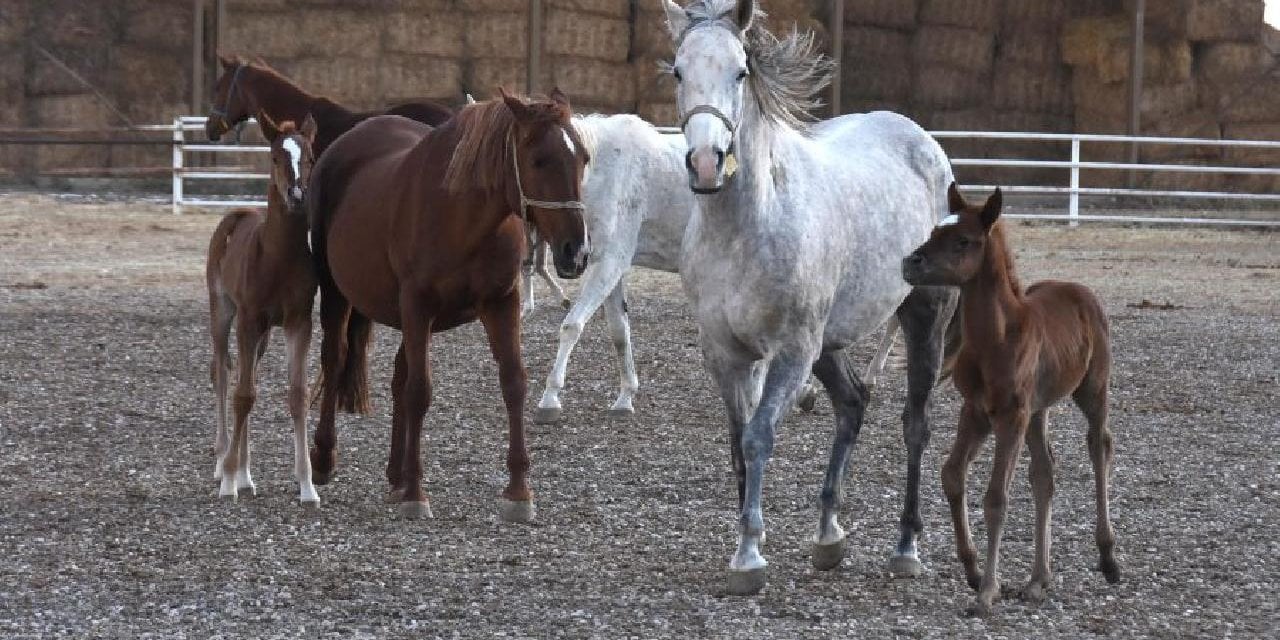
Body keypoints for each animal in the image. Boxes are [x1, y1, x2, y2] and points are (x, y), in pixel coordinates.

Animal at [207, 112, 320, 506]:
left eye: (311, 157)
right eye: (274, 157)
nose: (298, 196)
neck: (277, 256)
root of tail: (237, 214)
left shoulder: (298, 321)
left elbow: (297, 395)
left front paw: (307, 486)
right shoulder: (247, 319)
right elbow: (243, 396)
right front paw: (227, 481)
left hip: (264, 335)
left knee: (247, 374)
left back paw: (245, 474)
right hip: (222, 312)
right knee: (224, 375)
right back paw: (224, 463)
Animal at [307, 87, 591, 522]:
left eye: (583, 159)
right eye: (539, 159)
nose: (575, 252)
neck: (464, 218)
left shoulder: (501, 304)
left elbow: (513, 383)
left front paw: (518, 491)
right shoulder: (417, 306)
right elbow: (420, 391)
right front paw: (416, 493)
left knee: (398, 377)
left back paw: (396, 475)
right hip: (339, 293)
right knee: (335, 360)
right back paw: (324, 458)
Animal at [665, 0, 957, 593]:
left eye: (741, 71)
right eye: (678, 72)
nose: (706, 163)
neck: (747, 224)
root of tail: (922, 142)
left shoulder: (791, 352)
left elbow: (758, 438)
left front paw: (749, 556)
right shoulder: (725, 354)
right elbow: (738, 444)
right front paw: (749, 540)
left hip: (923, 319)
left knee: (915, 426)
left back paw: (906, 547)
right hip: (829, 343)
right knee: (852, 404)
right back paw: (828, 536)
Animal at [901, 185, 1121, 614]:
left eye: (963, 240)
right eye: (935, 231)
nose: (910, 262)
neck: (995, 339)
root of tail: (1080, 290)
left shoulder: (1010, 416)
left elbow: (996, 498)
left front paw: (987, 591)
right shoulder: (976, 411)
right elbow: (952, 475)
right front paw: (972, 570)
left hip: (1091, 390)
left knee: (1099, 445)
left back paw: (1107, 557)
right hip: (1038, 411)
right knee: (1045, 473)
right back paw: (1038, 580)